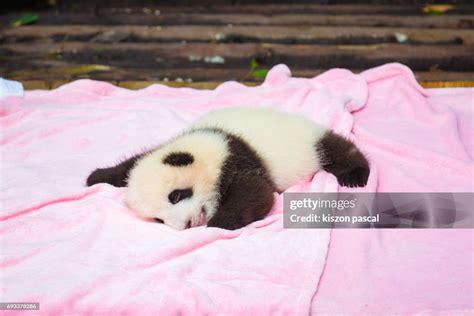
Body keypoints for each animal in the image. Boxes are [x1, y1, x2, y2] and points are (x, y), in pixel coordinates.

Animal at [87, 106, 368, 230]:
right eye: (158, 219)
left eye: (176, 196)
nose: (187, 224)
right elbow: (132, 163)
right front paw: (96, 177)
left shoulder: (236, 157)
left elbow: (256, 193)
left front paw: (218, 223)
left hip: (308, 144)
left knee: (335, 149)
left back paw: (356, 174)